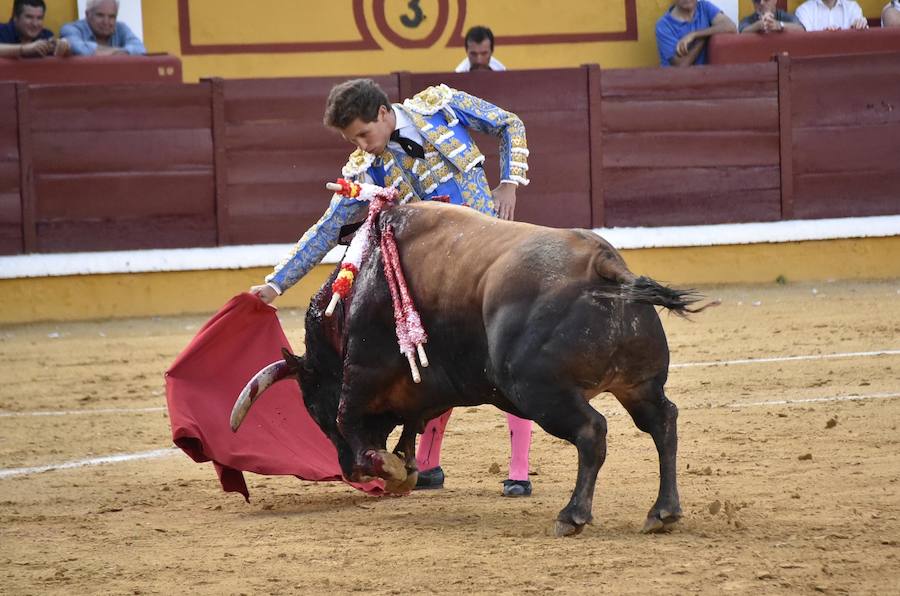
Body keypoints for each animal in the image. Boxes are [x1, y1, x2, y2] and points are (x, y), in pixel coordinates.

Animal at [230, 199, 704, 536]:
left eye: (313, 408)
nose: (347, 472)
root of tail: (602, 263)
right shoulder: (422, 390)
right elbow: (414, 426)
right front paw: (406, 467)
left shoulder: (361, 376)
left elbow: (357, 423)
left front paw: (392, 470)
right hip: (639, 384)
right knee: (663, 421)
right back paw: (663, 512)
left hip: (540, 392)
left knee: (591, 431)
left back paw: (572, 515)